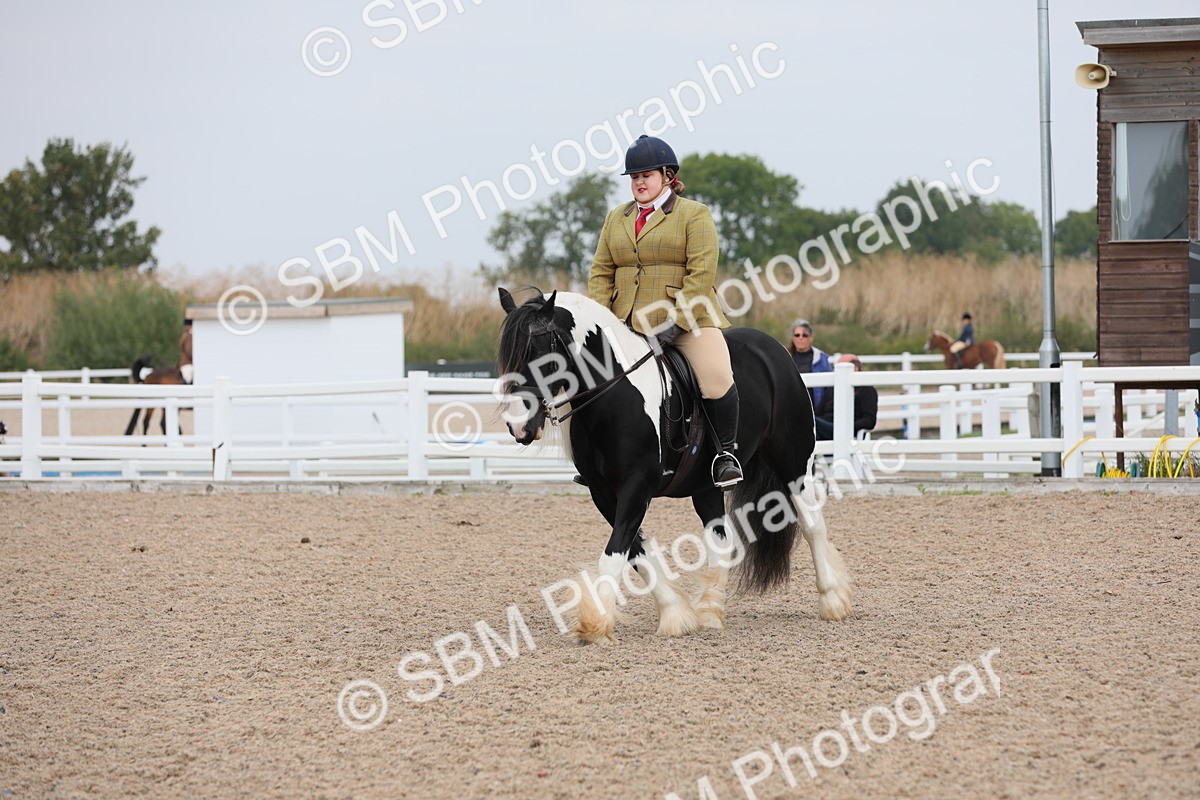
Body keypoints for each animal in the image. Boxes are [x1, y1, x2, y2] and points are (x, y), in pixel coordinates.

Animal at [497, 288, 853, 644]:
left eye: (539, 353)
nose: (518, 426)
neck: (614, 395)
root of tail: (773, 347)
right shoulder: (603, 492)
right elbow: (636, 551)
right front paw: (676, 615)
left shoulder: (636, 486)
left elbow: (615, 551)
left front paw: (595, 624)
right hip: (707, 485)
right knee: (721, 540)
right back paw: (709, 612)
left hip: (794, 463)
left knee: (811, 523)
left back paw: (833, 600)